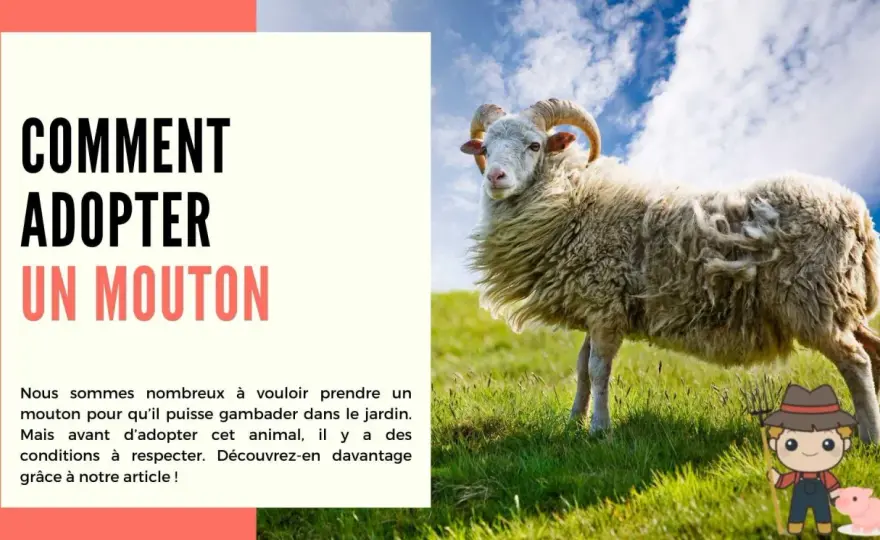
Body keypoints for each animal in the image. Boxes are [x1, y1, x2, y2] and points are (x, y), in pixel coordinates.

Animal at [458, 98, 880, 443]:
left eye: (535, 145)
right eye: (486, 149)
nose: (494, 177)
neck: (574, 199)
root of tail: (857, 210)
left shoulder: (605, 305)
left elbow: (598, 369)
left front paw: (600, 430)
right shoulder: (596, 305)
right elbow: (581, 369)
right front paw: (573, 423)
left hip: (813, 300)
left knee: (856, 361)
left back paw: (869, 438)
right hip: (841, 301)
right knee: (873, 350)